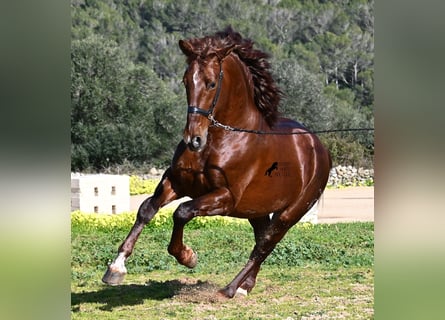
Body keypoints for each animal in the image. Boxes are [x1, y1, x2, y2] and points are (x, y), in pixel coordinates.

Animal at [101, 27, 330, 298]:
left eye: (211, 83)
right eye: (186, 81)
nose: (193, 139)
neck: (222, 140)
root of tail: (319, 147)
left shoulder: (225, 197)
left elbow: (182, 212)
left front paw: (188, 256)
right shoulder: (176, 182)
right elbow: (147, 209)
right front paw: (116, 268)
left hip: (290, 212)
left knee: (265, 244)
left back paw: (230, 289)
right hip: (256, 210)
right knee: (261, 238)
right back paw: (245, 286)